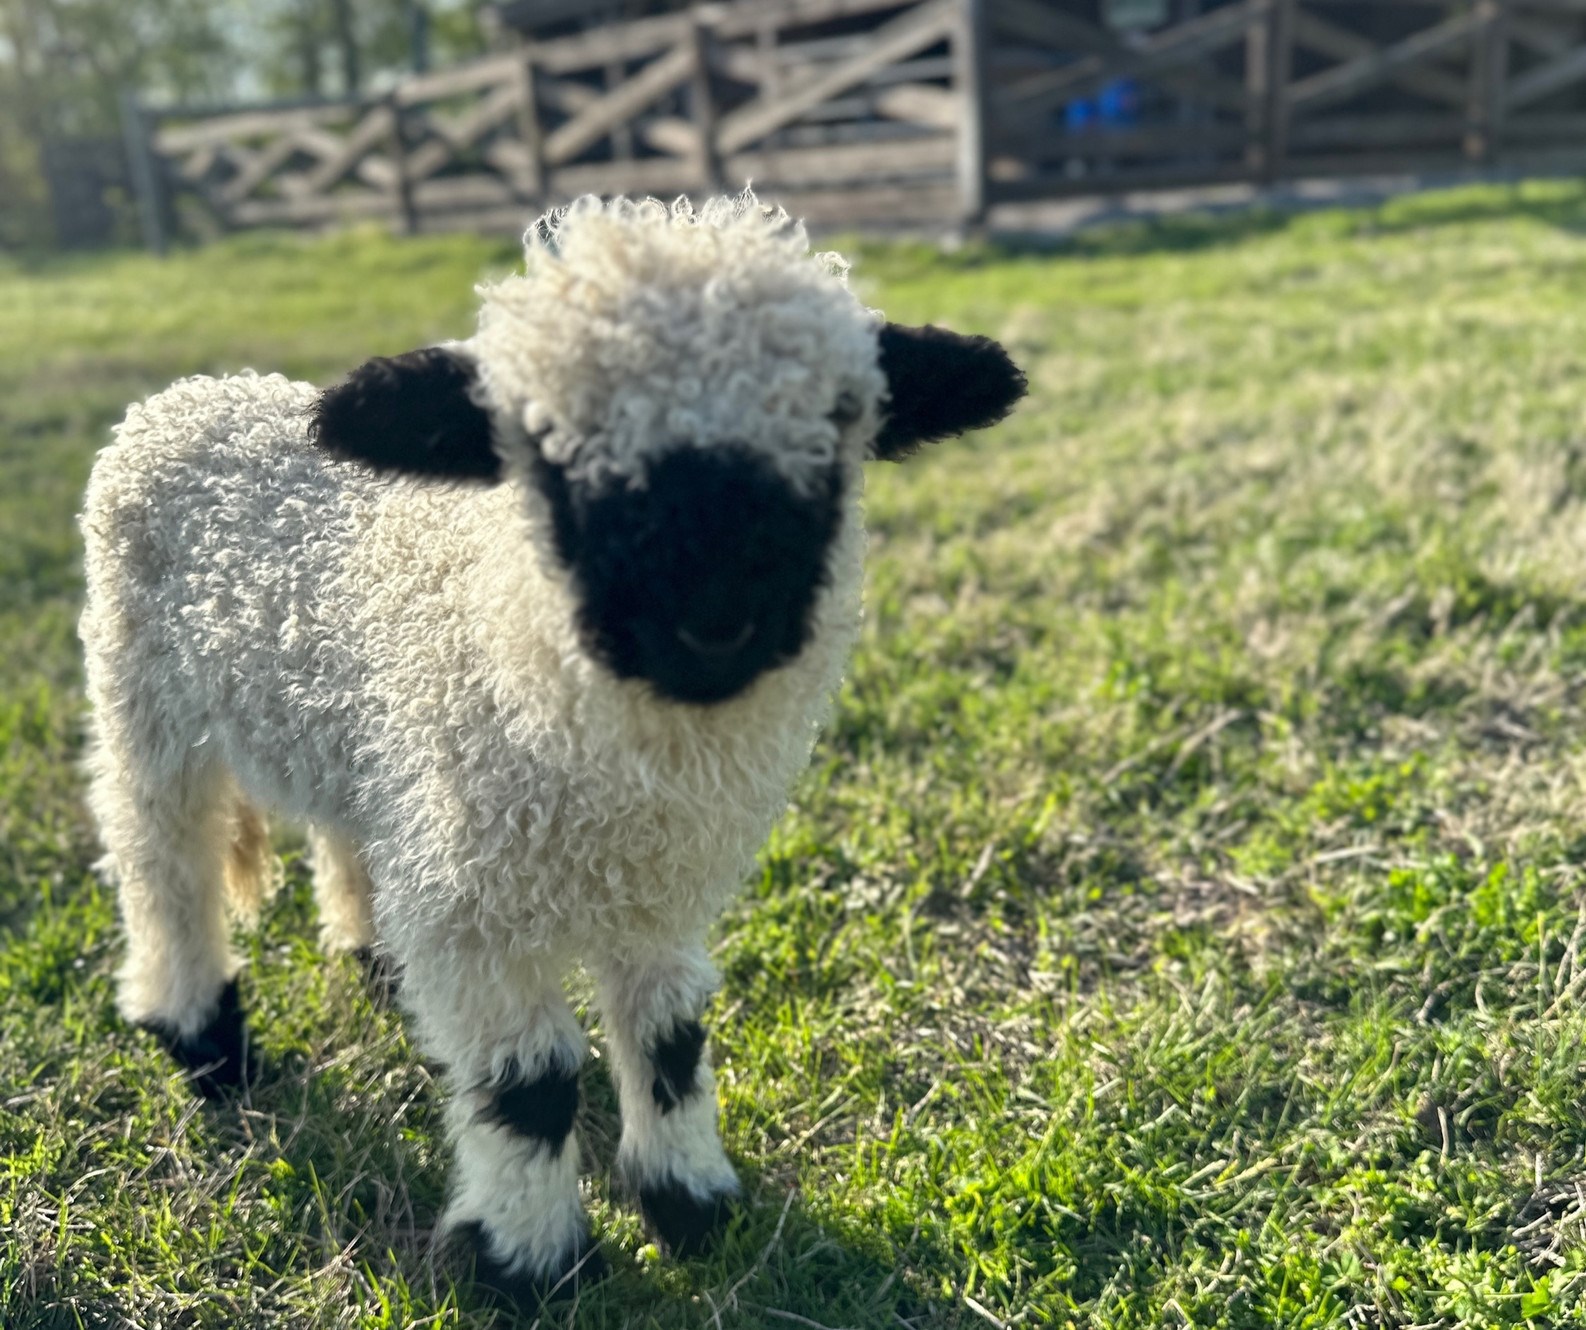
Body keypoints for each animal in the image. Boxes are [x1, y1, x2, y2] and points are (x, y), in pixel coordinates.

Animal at [80, 192, 1027, 1306]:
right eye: (546, 444)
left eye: (839, 425)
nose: (714, 620)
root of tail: (190, 397)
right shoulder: (478, 907)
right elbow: (528, 1086)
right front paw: (526, 1263)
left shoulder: (655, 895)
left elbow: (669, 1040)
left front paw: (690, 1202)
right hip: (143, 699)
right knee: (161, 859)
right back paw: (202, 1038)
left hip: (361, 740)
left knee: (347, 832)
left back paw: (373, 956)